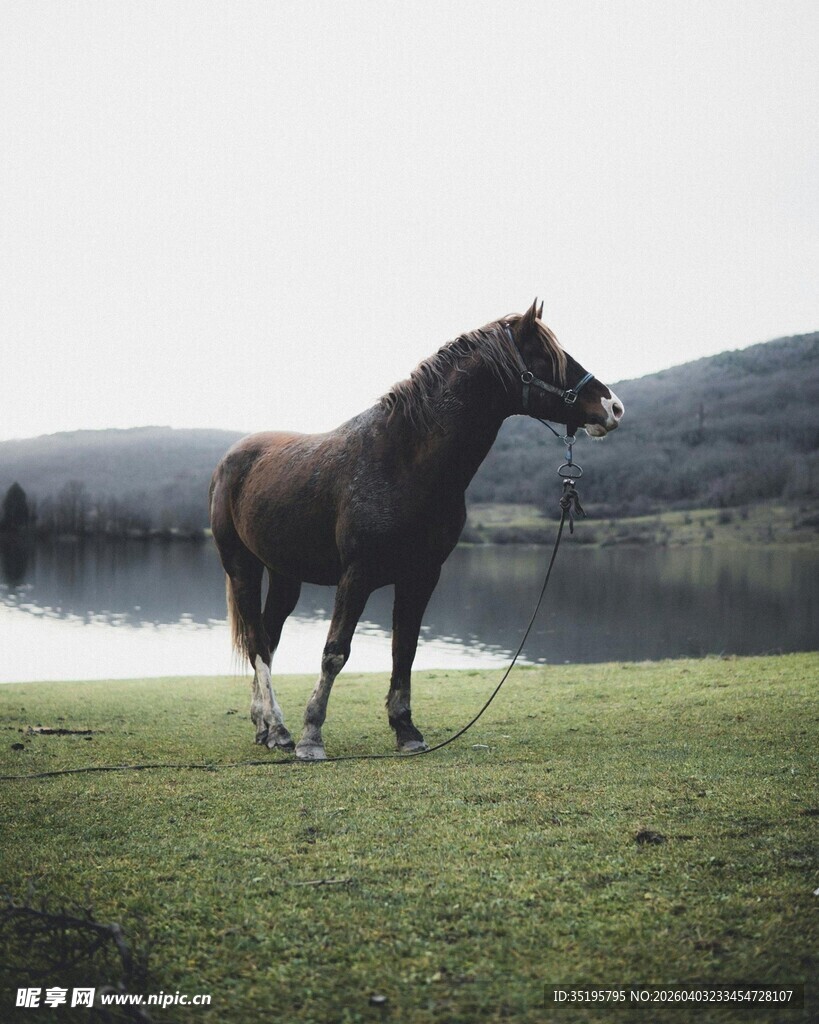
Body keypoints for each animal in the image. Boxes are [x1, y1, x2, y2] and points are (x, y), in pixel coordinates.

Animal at [209, 300, 624, 760]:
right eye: (546, 357)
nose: (613, 407)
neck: (402, 461)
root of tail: (230, 460)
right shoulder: (356, 575)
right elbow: (335, 652)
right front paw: (311, 736)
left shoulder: (422, 576)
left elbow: (404, 651)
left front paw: (406, 730)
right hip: (242, 569)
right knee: (258, 642)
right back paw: (280, 729)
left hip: (285, 577)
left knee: (267, 636)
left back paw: (265, 727)